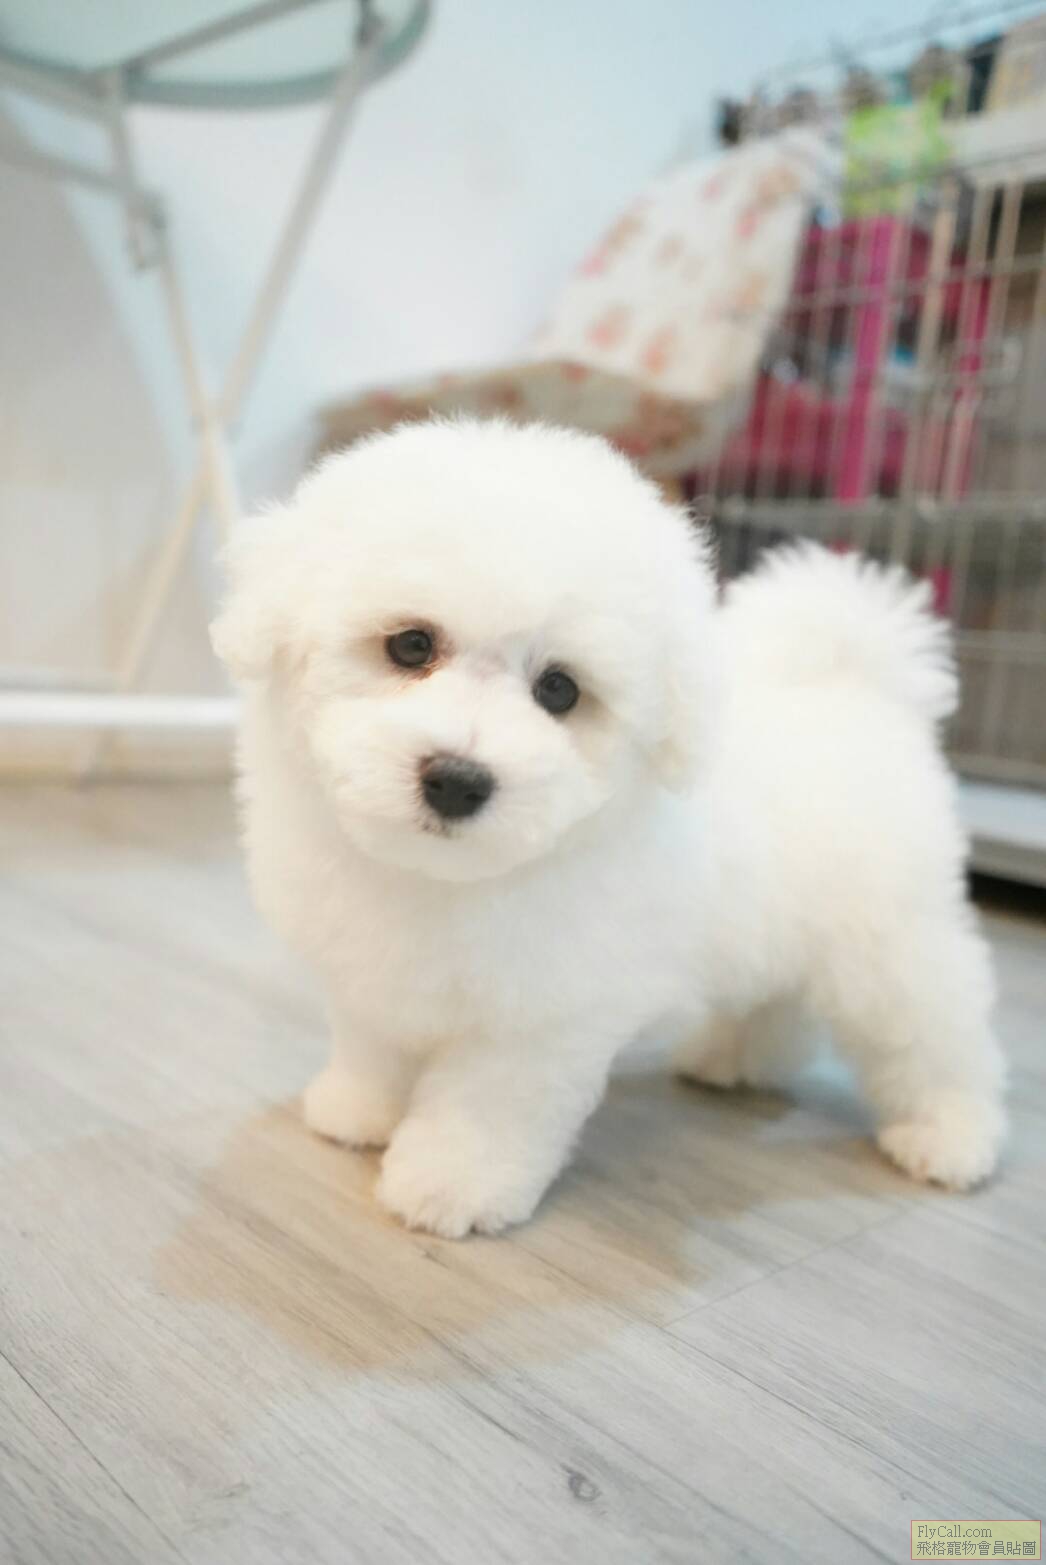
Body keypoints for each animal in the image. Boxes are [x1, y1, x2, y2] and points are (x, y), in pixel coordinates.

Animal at [212, 418, 1006, 1237]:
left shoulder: (542, 1016)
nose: (458, 779)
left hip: (888, 942)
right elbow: (373, 1042)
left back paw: (951, 1134)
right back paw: (734, 1058)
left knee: (934, 1033)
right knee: (775, 1000)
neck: (443, 877)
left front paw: (451, 1182)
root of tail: (859, 688)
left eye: (559, 690)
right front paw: (358, 1107)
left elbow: (486, 1104)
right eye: (410, 644)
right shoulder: (367, 970)